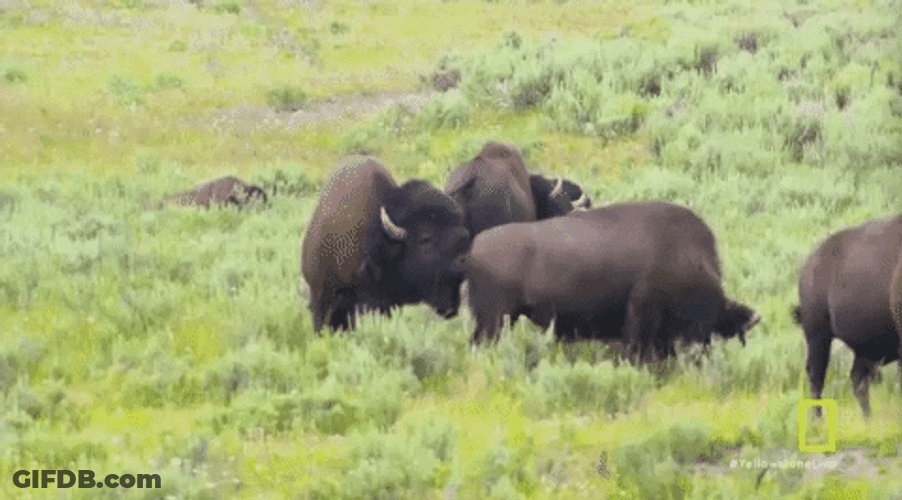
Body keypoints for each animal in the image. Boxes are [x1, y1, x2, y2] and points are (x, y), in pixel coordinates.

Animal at [794, 215, 902, 417]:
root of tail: (808, 266)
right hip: (818, 335)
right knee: (817, 375)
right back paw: (818, 420)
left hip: (864, 348)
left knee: (858, 380)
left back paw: (868, 420)